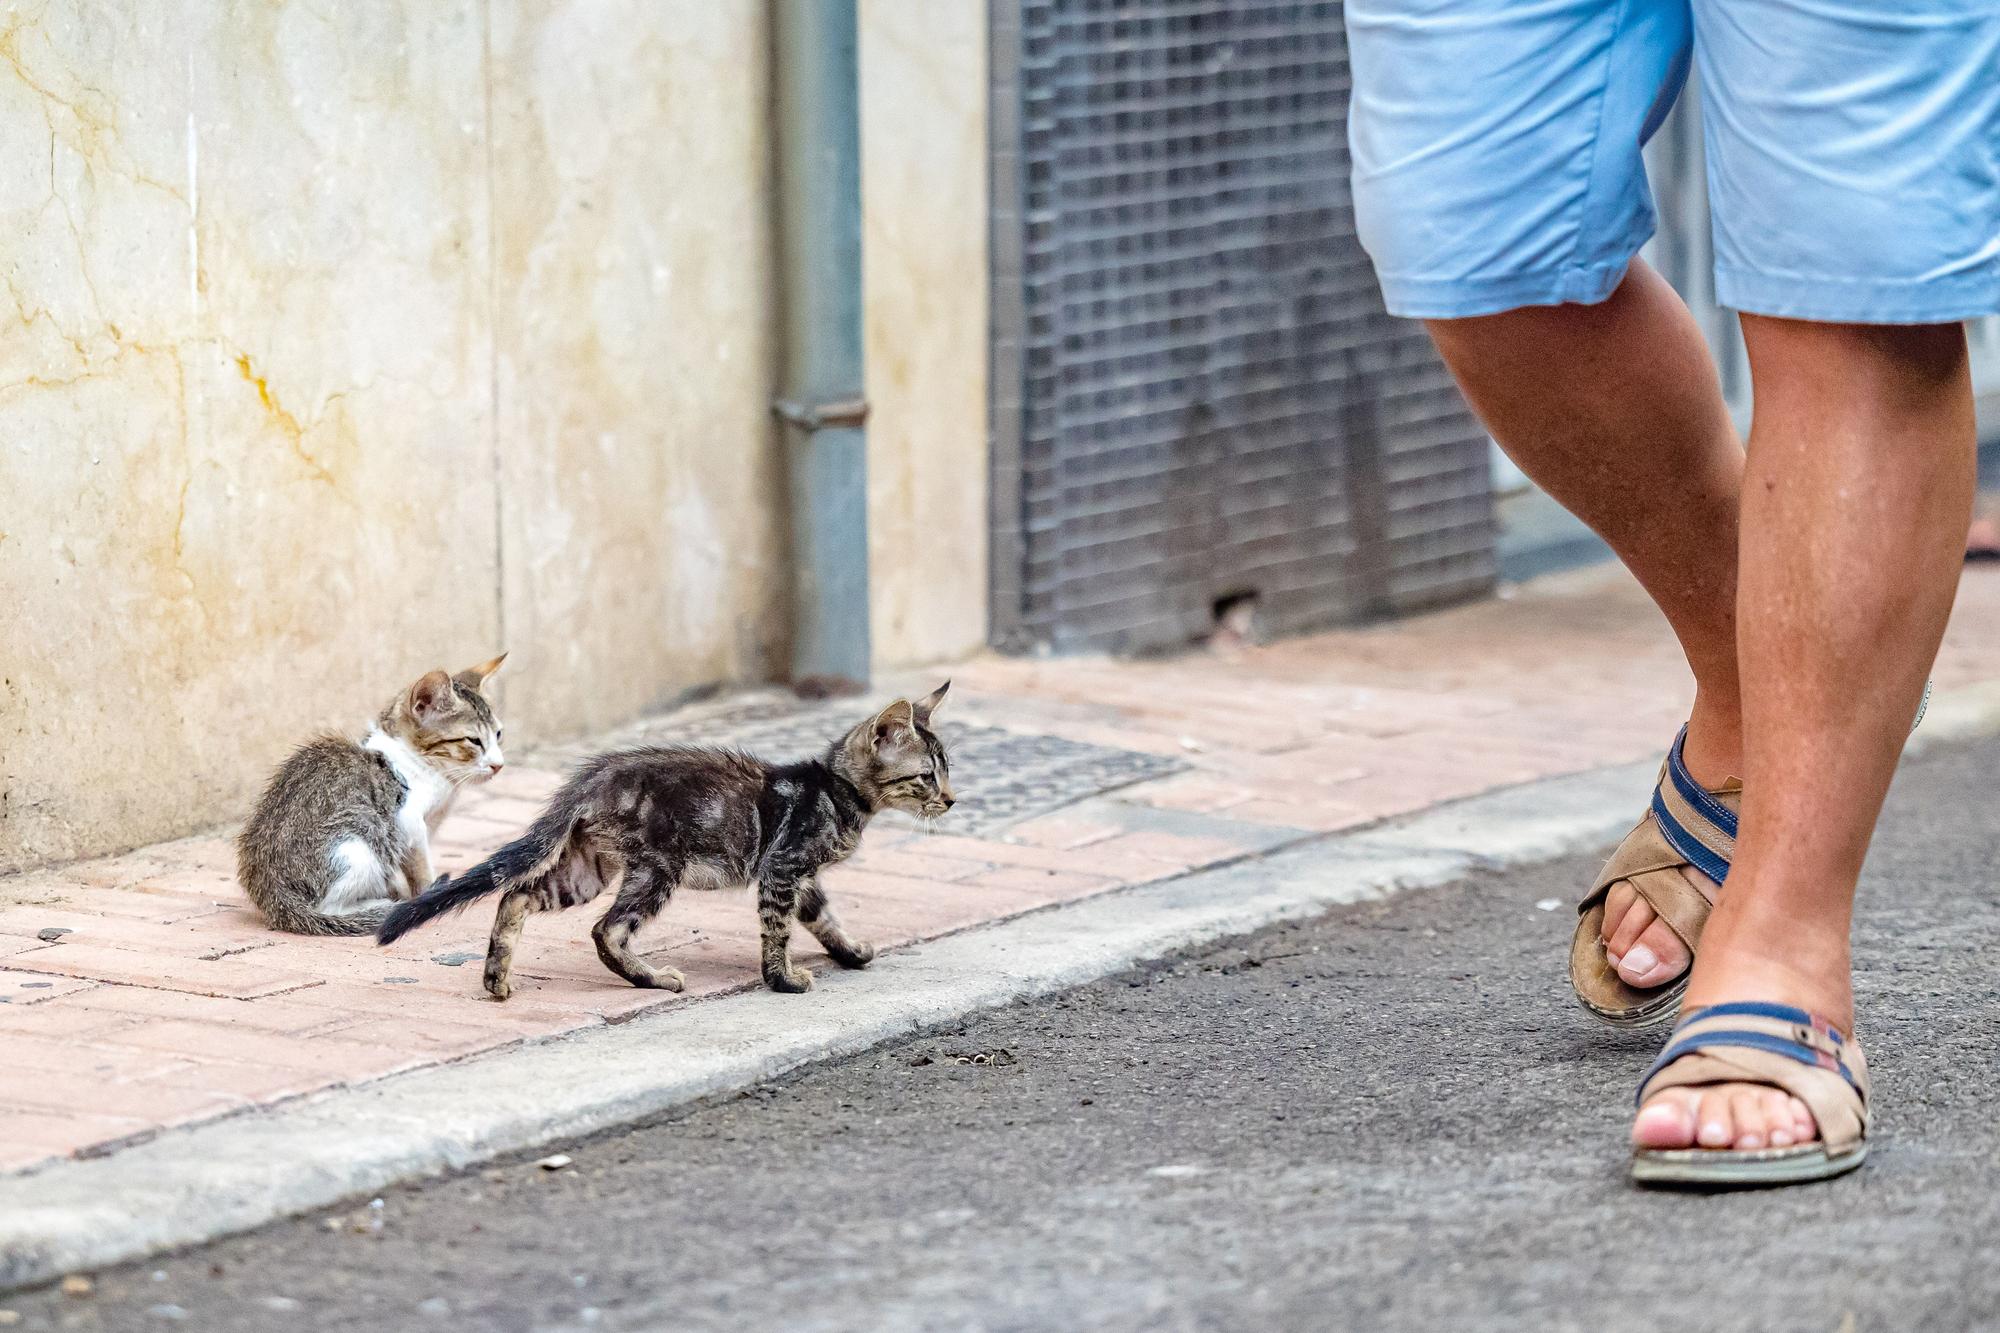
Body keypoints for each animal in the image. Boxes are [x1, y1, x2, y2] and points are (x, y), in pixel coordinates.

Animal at [236, 656, 508, 932]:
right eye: (474, 741)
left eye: (498, 734)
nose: (498, 764)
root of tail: (273, 895)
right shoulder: (409, 824)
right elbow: (420, 868)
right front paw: (426, 896)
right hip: (359, 841)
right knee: (328, 907)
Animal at [386, 680, 964, 992]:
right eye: (926, 776)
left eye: (948, 770)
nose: (953, 799)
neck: (840, 792)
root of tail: (592, 776)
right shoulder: (783, 866)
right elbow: (778, 930)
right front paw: (782, 979)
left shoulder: (801, 876)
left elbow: (822, 916)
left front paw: (850, 951)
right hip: (658, 867)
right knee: (606, 930)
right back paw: (653, 979)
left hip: (587, 868)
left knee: (518, 894)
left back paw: (497, 978)